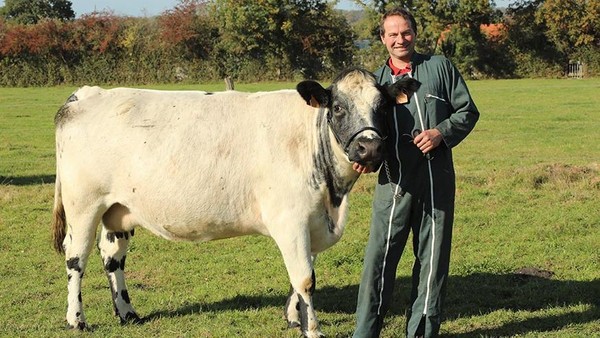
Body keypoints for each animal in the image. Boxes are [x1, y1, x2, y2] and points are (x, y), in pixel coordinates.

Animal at [51, 67, 420, 336]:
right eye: (339, 108)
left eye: (383, 108)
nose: (370, 148)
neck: (334, 196)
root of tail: (88, 93)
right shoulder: (290, 218)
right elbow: (305, 278)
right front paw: (312, 329)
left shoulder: (309, 220)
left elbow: (301, 273)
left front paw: (293, 318)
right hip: (83, 205)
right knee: (76, 258)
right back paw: (77, 319)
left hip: (118, 210)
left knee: (112, 258)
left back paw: (128, 313)